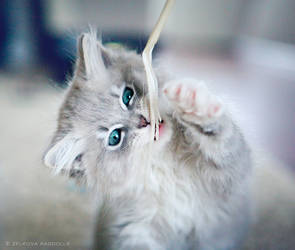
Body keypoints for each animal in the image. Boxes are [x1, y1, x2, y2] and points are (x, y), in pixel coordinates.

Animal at [43, 31, 252, 250]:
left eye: (127, 96)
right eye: (114, 137)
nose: (143, 121)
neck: (163, 165)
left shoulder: (231, 169)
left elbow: (217, 135)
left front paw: (189, 100)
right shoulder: (133, 231)